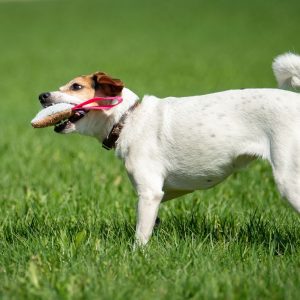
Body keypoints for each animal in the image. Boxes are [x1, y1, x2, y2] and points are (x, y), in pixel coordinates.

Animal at [38, 52, 300, 245]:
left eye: (76, 86)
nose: (42, 95)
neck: (128, 118)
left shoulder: (150, 192)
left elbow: (140, 237)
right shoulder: (165, 191)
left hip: (289, 182)